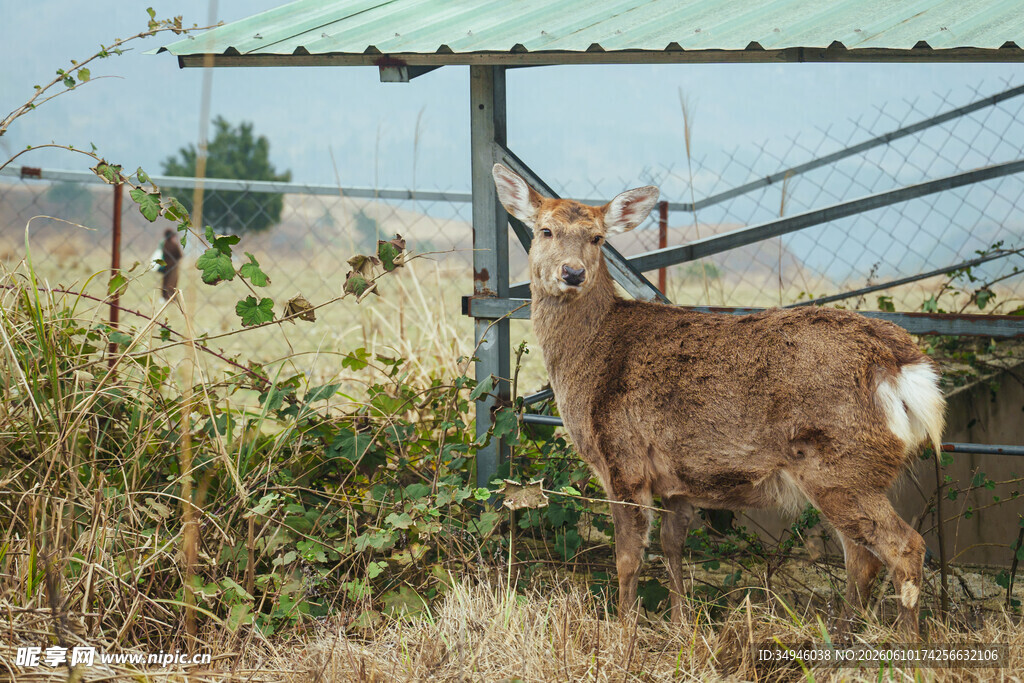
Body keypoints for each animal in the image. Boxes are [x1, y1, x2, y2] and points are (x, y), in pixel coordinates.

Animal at [491, 163, 945, 638]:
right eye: (545, 230)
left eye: (598, 237)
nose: (573, 273)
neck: (590, 356)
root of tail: (902, 365)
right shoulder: (676, 480)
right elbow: (672, 548)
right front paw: (679, 628)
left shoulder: (624, 460)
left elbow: (628, 559)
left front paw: (624, 634)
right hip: (850, 472)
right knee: (862, 560)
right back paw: (839, 641)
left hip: (842, 464)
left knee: (903, 547)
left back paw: (905, 647)